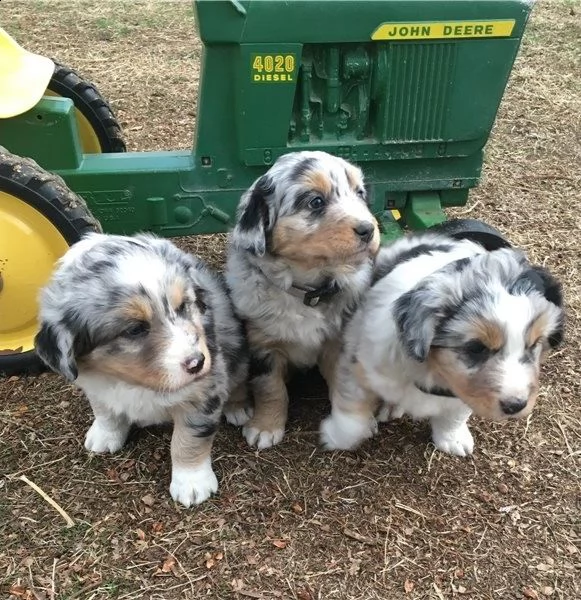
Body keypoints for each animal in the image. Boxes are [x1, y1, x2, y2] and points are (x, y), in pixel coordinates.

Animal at [34, 234, 247, 506]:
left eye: (182, 307)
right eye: (134, 329)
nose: (197, 362)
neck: (136, 382)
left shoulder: (204, 389)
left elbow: (188, 440)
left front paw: (192, 483)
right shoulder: (95, 385)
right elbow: (105, 411)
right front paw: (105, 436)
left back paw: (239, 408)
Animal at [225, 152, 380, 448]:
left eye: (360, 193)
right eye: (316, 201)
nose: (368, 229)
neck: (309, 291)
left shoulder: (340, 341)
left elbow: (344, 384)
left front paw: (352, 423)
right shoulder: (262, 345)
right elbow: (271, 388)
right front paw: (265, 427)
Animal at [320, 233, 564, 454]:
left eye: (534, 345)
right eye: (476, 348)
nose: (516, 406)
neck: (430, 370)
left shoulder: (463, 389)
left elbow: (455, 415)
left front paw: (453, 440)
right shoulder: (354, 362)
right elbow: (352, 418)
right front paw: (333, 437)